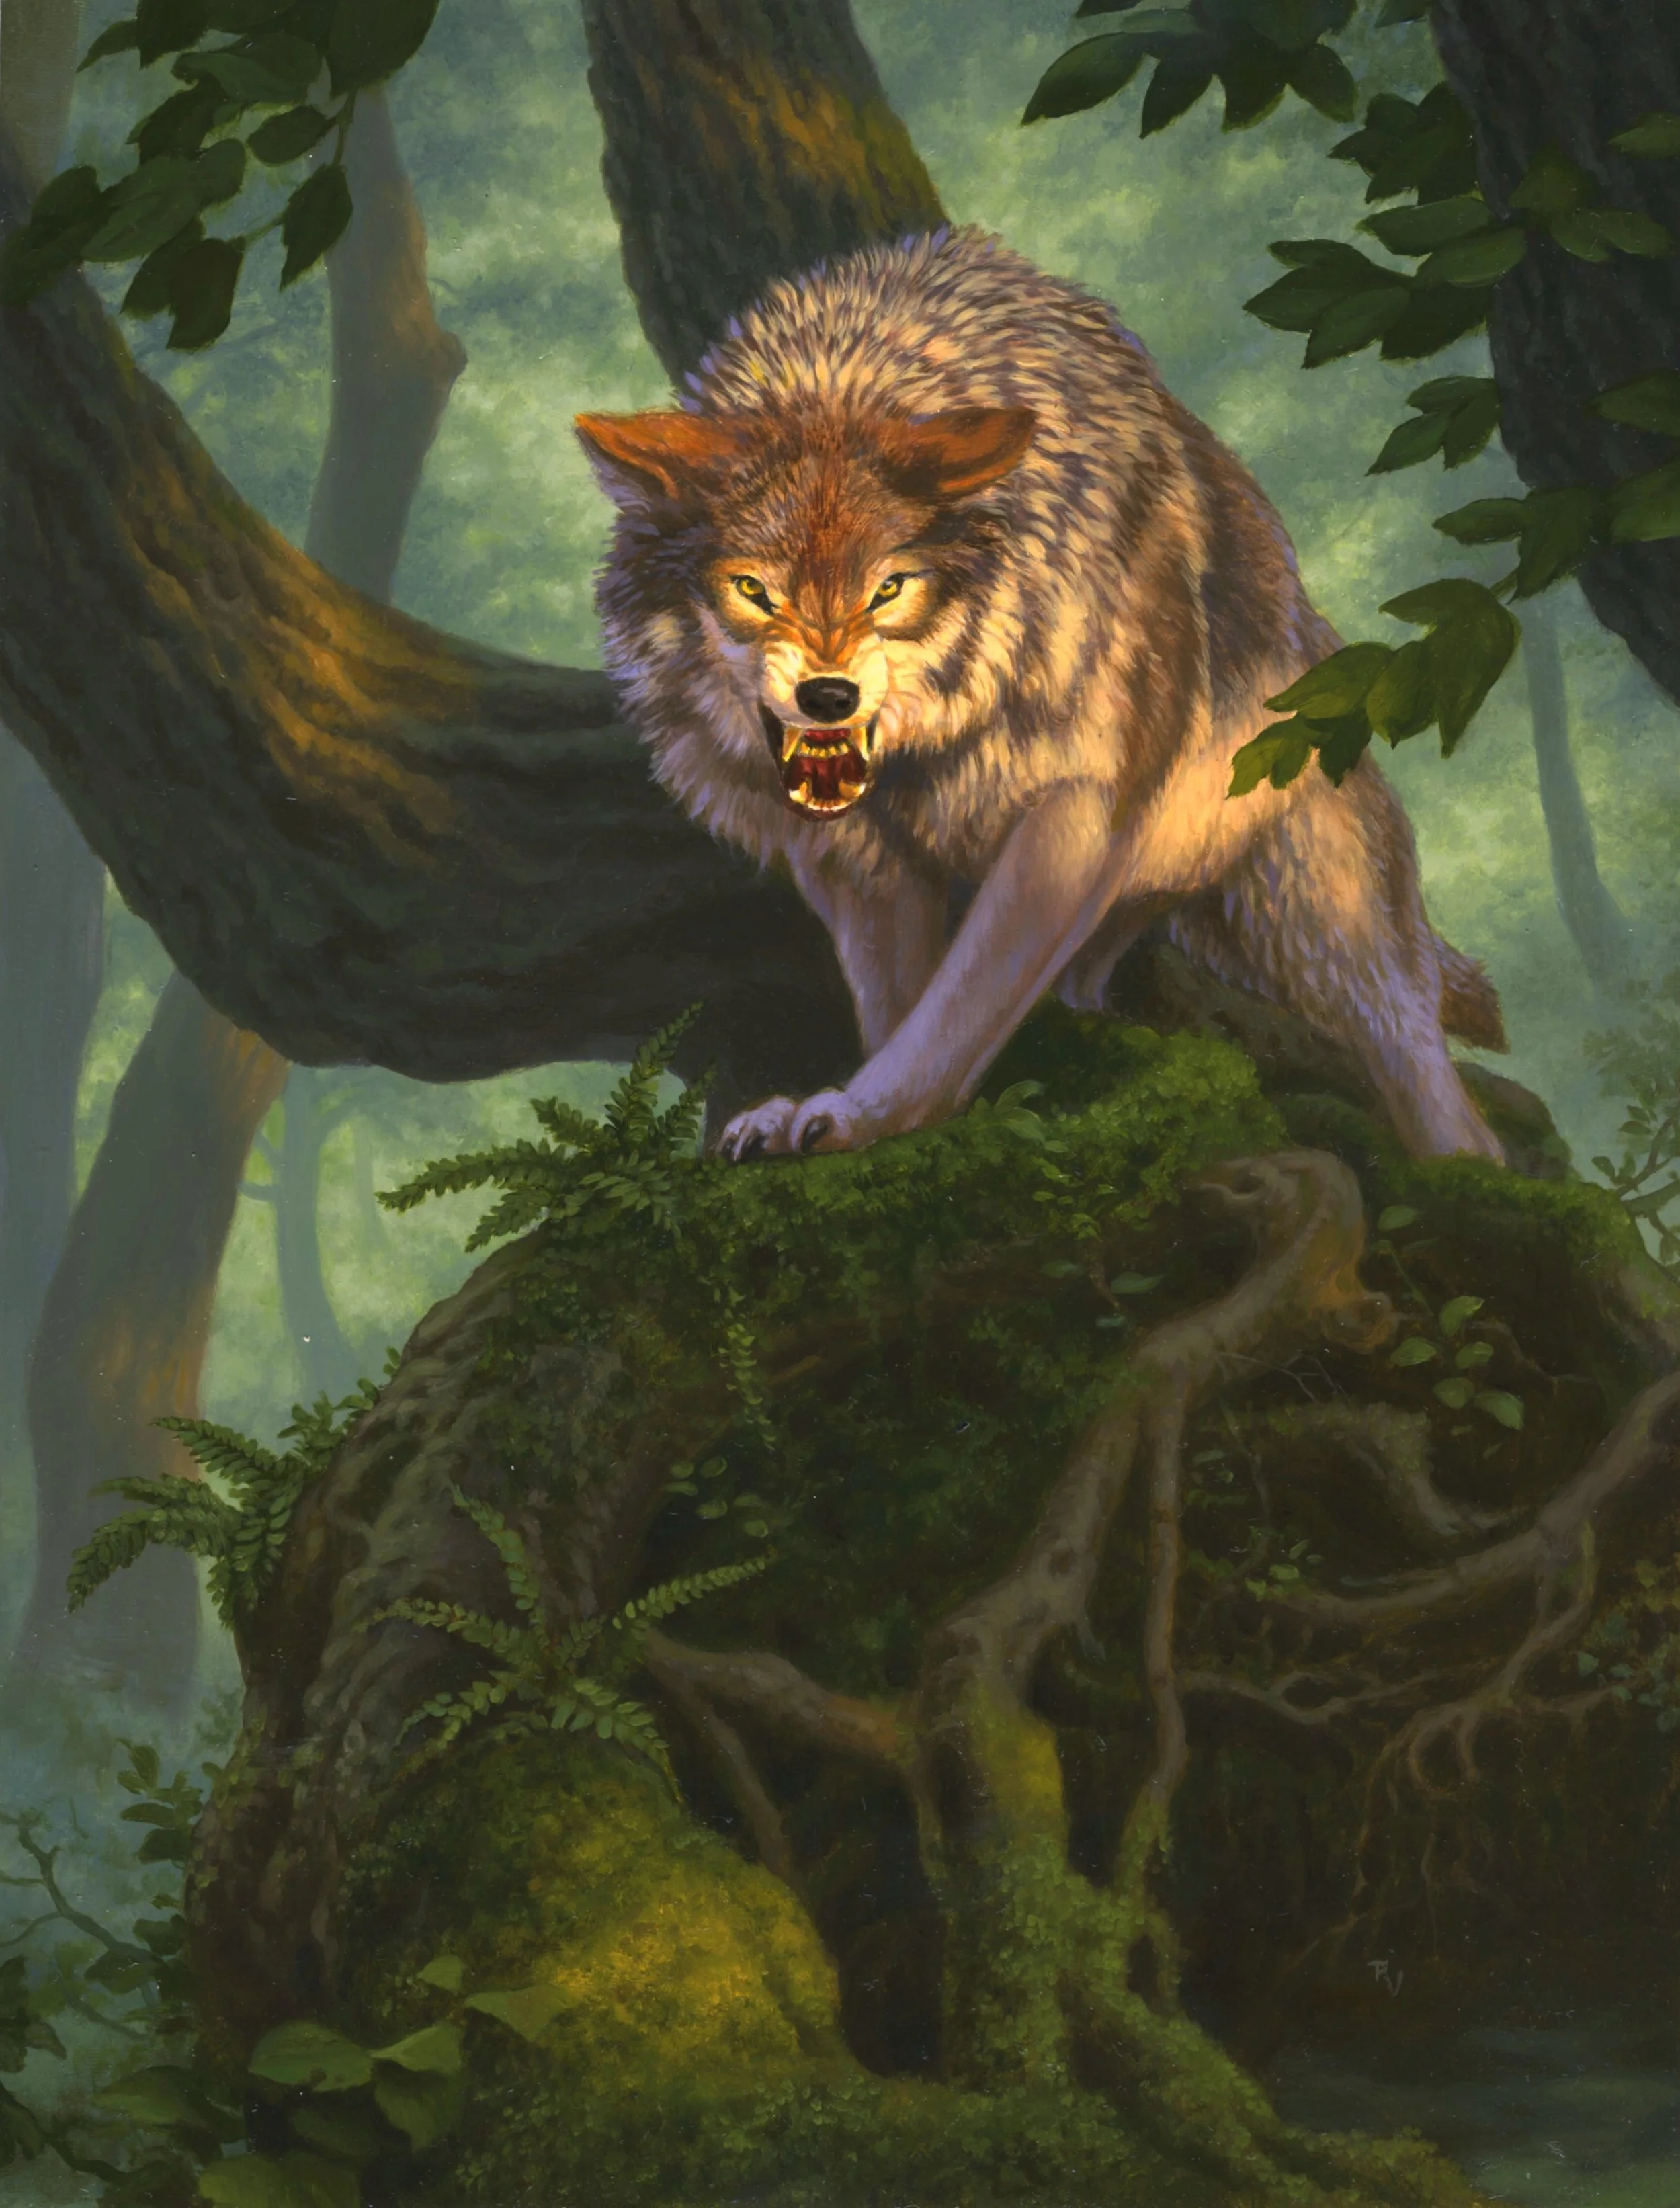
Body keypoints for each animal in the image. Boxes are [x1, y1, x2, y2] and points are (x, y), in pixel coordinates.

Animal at [576, 226, 1506, 1164]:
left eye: (890, 589)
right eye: (753, 590)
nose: (828, 695)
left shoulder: (1074, 811)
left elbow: (960, 1006)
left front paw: (868, 1114)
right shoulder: (858, 862)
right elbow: (900, 1003)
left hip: (1321, 939)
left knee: (1441, 1095)